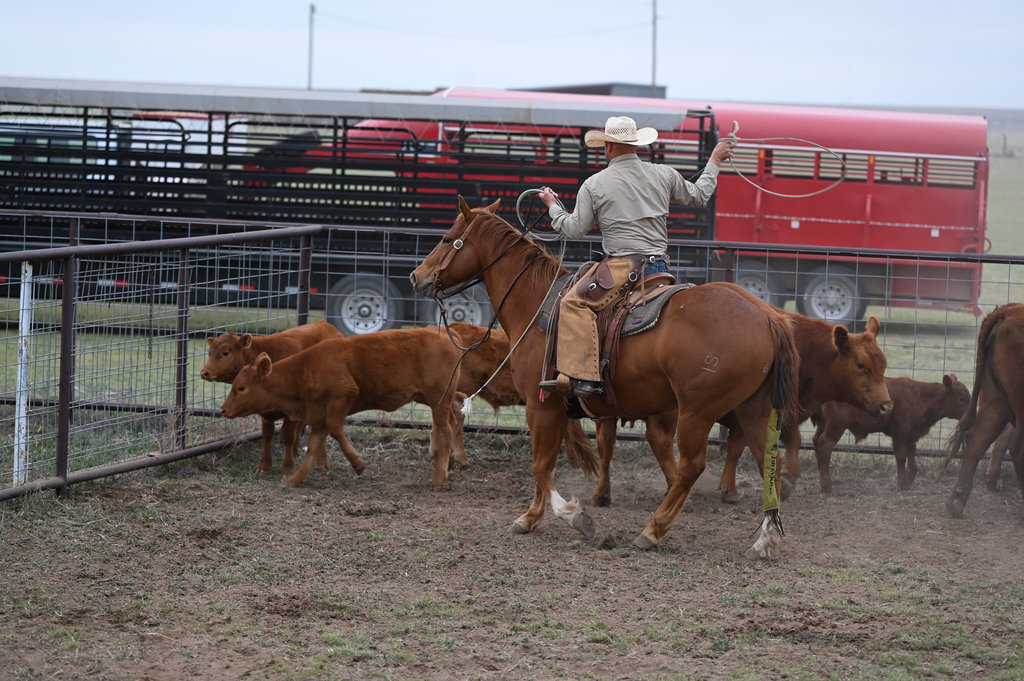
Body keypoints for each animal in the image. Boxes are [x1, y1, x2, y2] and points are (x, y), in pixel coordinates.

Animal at [200, 320, 342, 475]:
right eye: (210, 353)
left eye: (225, 353)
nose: (204, 372)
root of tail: (326, 325)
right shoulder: (264, 411)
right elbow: (267, 435)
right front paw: (264, 466)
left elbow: (287, 436)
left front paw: (288, 468)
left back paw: (322, 460)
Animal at [219, 326, 463, 488]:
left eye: (241, 388)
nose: (223, 410)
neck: (306, 368)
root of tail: (448, 335)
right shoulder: (317, 412)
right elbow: (315, 442)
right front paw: (297, 477)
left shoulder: (342, 396)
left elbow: (335, 429)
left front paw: (358, 464)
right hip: (437, 401)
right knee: (451, 423)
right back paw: (449, 464)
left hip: (438, 401)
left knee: (444, 430)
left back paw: (438, 478)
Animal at [811, 374, 970, 492]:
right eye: (962, 399)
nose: (972, 416)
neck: (920, 397)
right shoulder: (900, 433)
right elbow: (901, 458)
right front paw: (902, 484)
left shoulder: (911, 435)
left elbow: (912, 460)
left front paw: (908, 482)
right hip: (837, 424)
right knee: (825, 444)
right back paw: (826, 486)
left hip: (823, 423)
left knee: (816, 440)